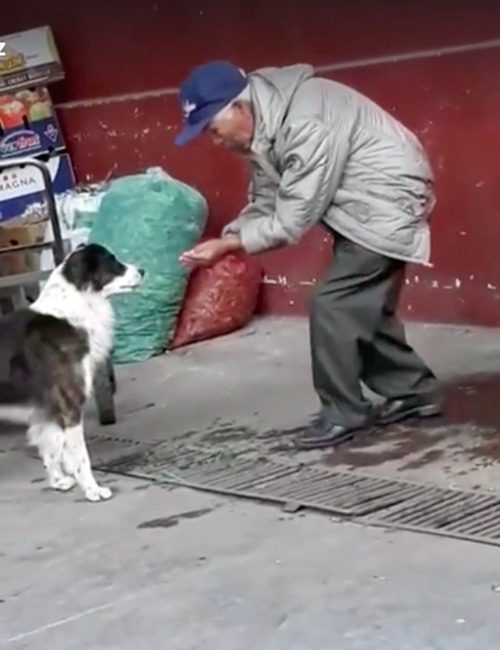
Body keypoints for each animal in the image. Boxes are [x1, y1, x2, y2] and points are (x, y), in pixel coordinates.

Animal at [0, 243, 144, 502]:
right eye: (113, 262)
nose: (143, 271)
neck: (73, 310)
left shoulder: (46, 411)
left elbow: (51, 450)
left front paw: (58, 482)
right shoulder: (70, 406)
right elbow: (80, 457)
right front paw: (92, 490)